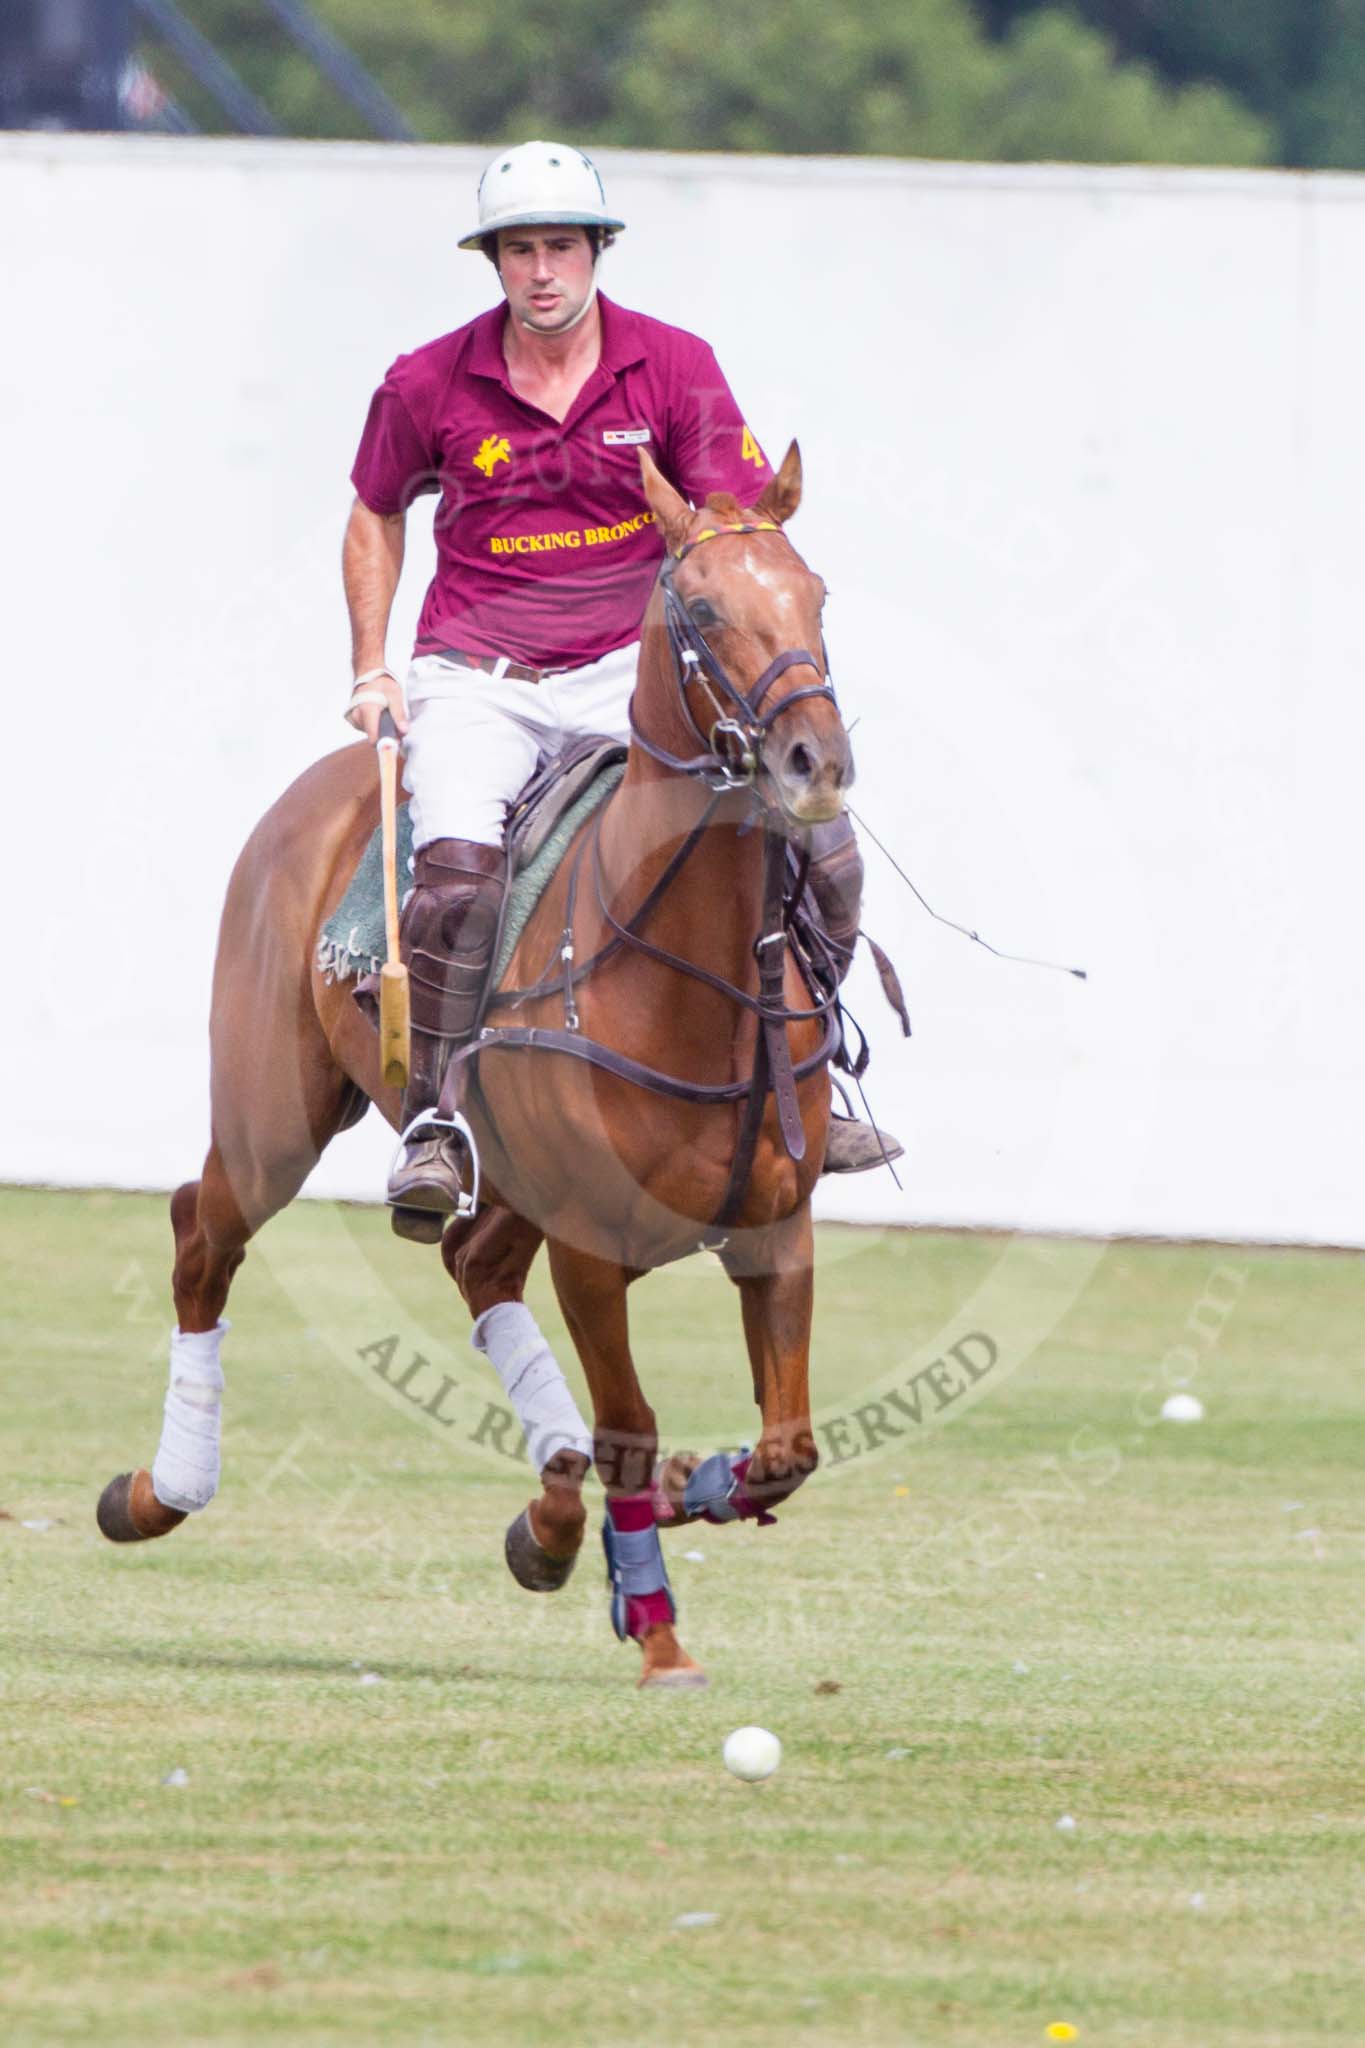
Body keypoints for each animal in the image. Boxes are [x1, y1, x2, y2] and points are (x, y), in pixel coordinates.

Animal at [98, 444, 855, 1679]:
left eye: (816, 596)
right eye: (699, 610)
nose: (816, 762)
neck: (685, 979)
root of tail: (325, 784)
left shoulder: (776, 1223)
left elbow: (788, 1446)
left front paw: (676, 1497)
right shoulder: (594, 1246)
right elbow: (630, 1429)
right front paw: (658, 1632)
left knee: (475, 1262)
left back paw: (548, 1519)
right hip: (273, 1116)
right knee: (203, 1235)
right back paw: (160, 1491)